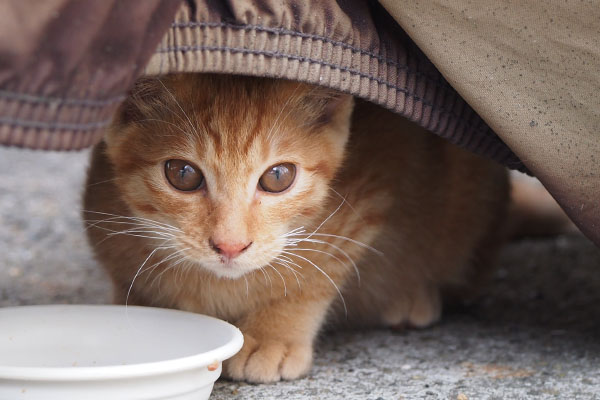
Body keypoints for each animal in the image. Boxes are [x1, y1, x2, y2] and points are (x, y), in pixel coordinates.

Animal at [82, 73, 508, 382]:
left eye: (278, 177)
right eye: (182, 174)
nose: (230, 246)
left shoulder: (372, 187)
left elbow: (314, 273)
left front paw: (275, 334)